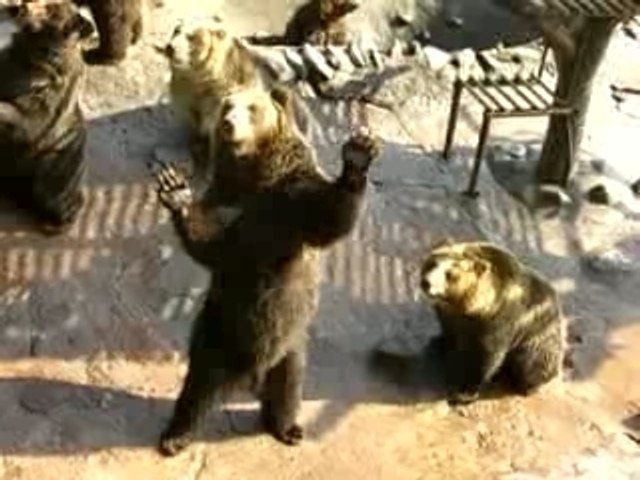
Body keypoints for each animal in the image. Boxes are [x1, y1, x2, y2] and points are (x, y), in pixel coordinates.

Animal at [0, 1, 94, 234]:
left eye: (52, 10)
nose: (20, 6)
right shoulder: (9, 65)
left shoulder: (46, 96)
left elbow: (26, 118)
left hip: (58, 162)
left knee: (52, 192)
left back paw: (53, 222)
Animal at [150, 85, 381, 456]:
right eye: (227, 106)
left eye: (252, 108)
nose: (228, 122)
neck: (257, 171)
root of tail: (251, 371)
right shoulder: (228, 201)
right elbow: (213, 245)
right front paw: (176, 190)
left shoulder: (292, 202)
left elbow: (330, 216)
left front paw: (358, 155)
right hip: (218, 329)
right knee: (199, 386)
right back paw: (176, 435)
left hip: (291, 341)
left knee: (288, 384)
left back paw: (287, 427)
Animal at [156, 16, 312, 184]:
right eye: (176, 31)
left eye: (191, 36)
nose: (170, 47)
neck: (200, 77)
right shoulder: (189, 95)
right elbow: (193, 123)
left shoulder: (221, 99)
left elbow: (215, 138)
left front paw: (210, 172)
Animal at [419, 239, 565, 406]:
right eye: (433, 264)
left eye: (450, 274)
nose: (426, 282)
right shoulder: (451, 316)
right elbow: (449, 330)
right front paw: (438, 343)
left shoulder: (498, 321)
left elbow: (488, 356)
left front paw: (465, 393)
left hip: (540, 337)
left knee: (531, 364)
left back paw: (526, 385)